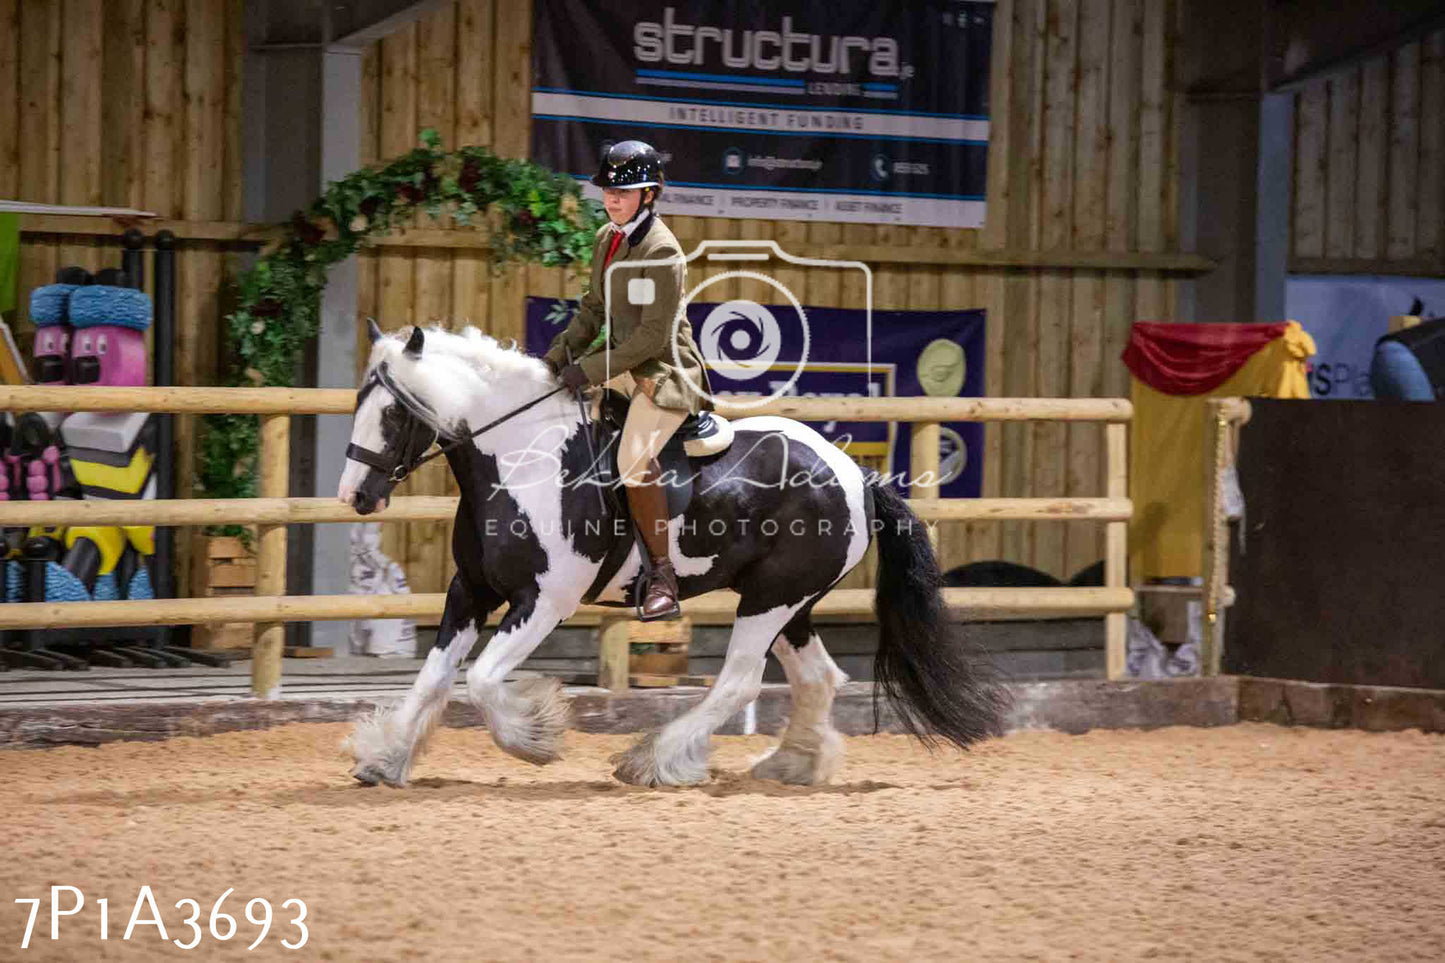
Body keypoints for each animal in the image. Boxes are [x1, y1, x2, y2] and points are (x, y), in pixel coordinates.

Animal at [336, 323, 1005, 786]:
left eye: (393, 412)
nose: (355, 495)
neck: (522, 457)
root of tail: (856, 476)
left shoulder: (546, 600)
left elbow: (480, 678)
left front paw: (536, 737)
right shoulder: (470, 591)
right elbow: (434, 677)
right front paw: (384, 758)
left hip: (771, 600)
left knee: (738, 683)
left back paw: (653, 759)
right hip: (791, 603)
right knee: (818, 676)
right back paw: (791, 764)